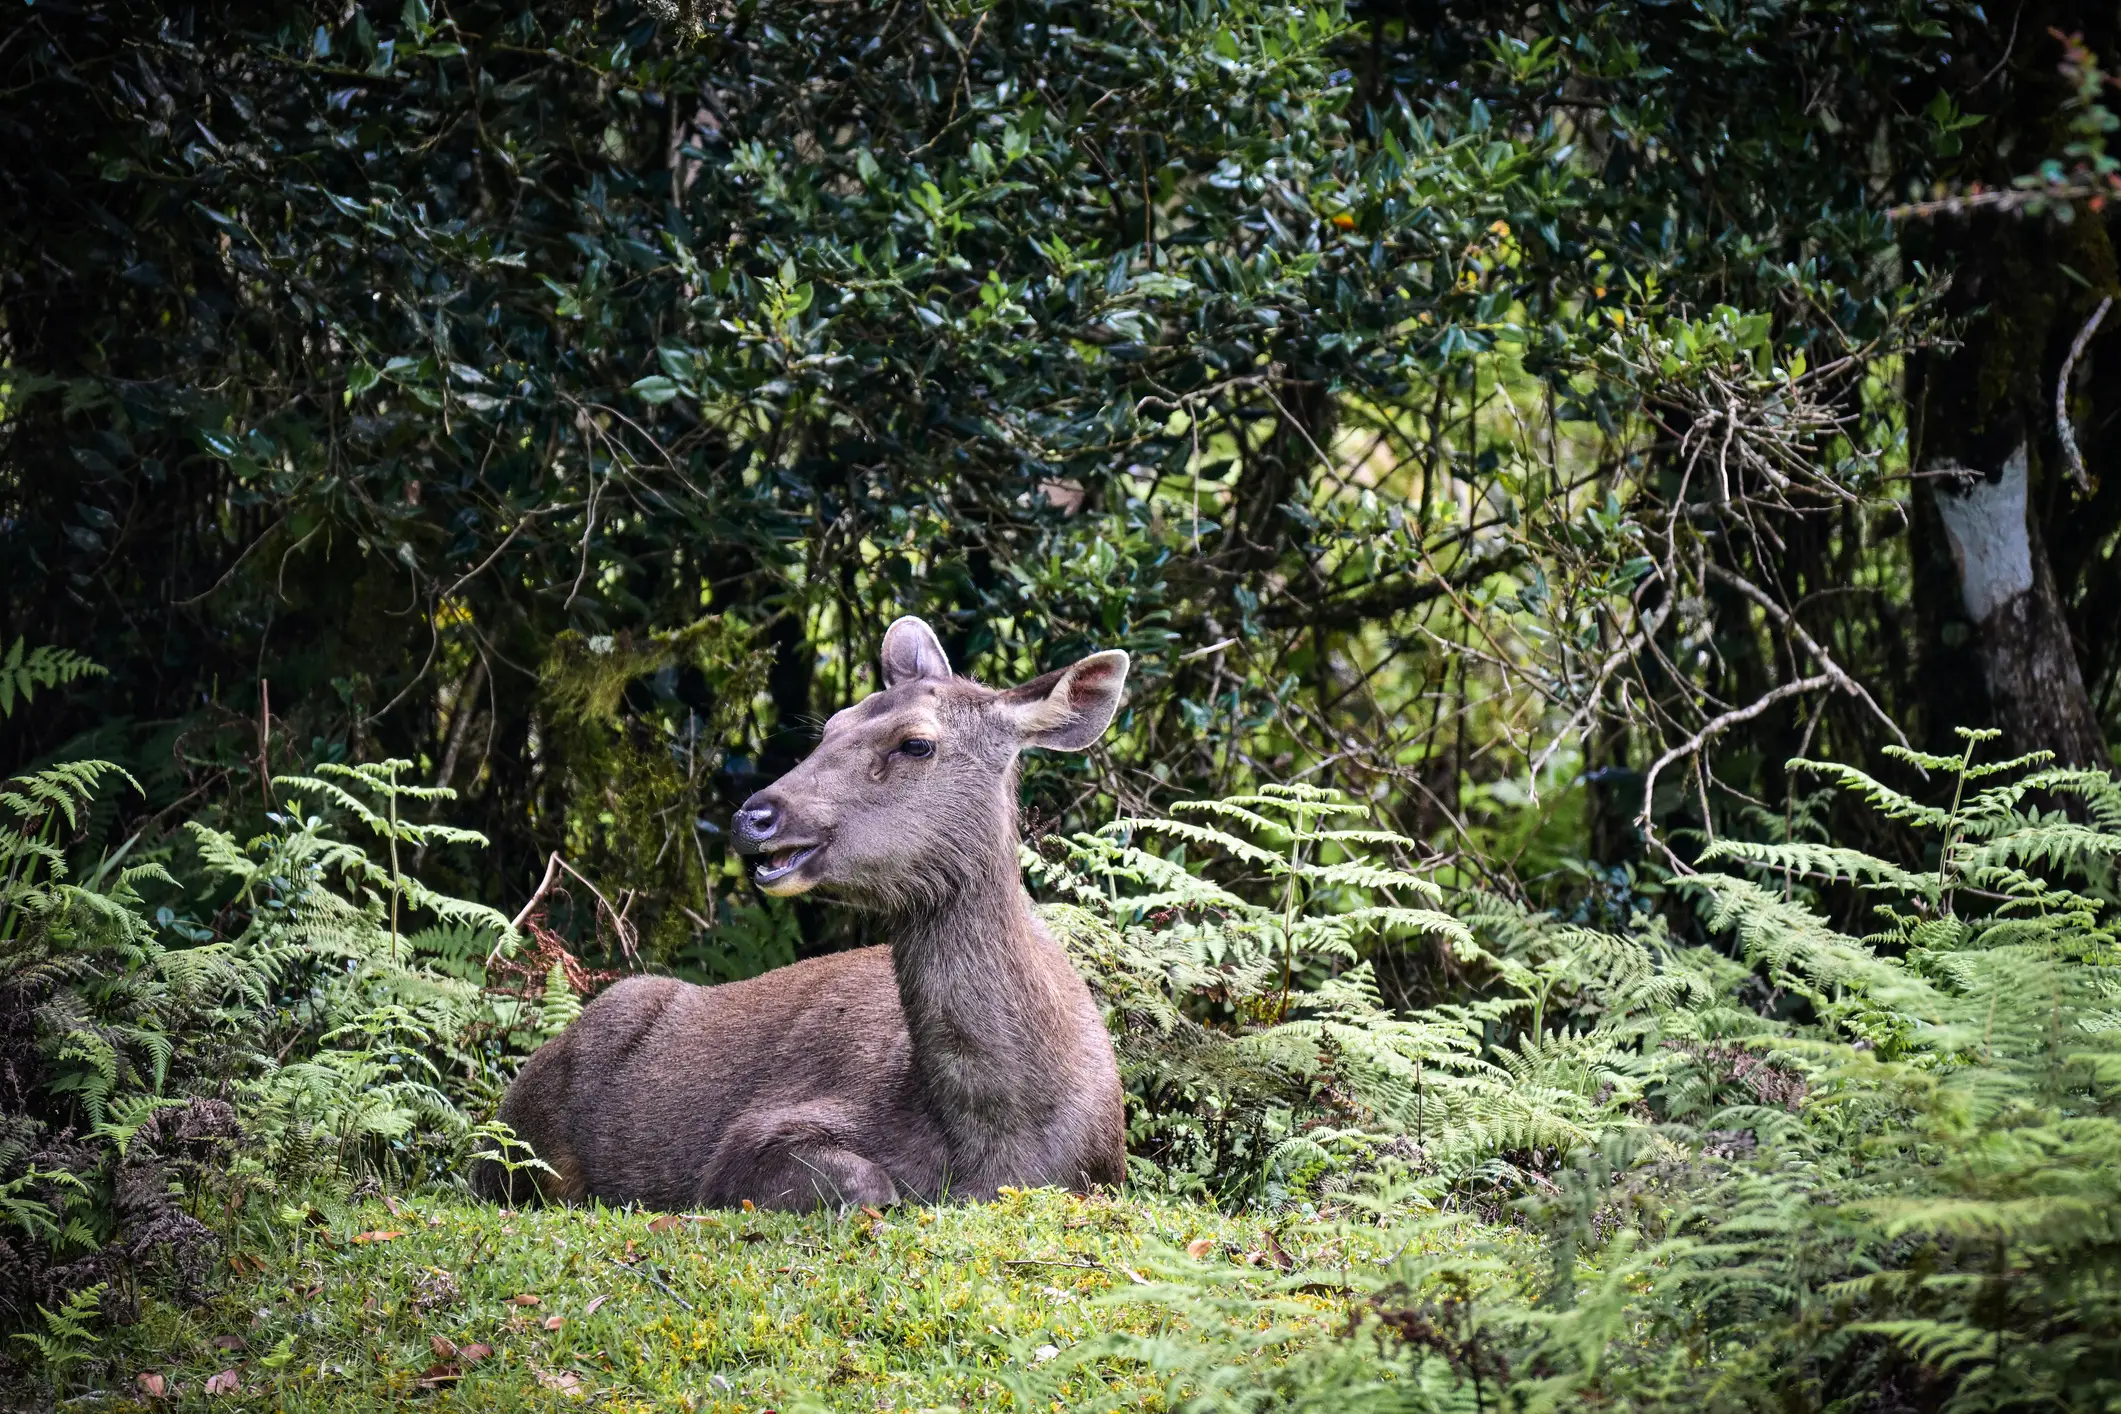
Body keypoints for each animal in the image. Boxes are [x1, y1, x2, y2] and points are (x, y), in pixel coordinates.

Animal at [474, 617, 1128, 1211]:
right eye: (832, 725)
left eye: (917, 742)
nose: (753, 816)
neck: (996, 1148)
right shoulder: (749, 1141)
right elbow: (871, 1183)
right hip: (515, 1144)